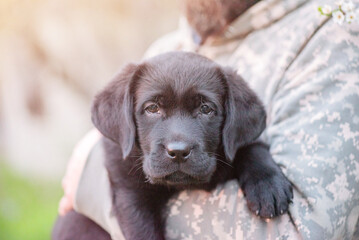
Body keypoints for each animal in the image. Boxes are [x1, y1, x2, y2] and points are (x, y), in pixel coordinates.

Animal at [52, 51, 292, 239]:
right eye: (152, 108)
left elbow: (250, 146)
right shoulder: (130, 195)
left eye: (206, 109)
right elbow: (143, 232)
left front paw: (268, 185)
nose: (178, 152)